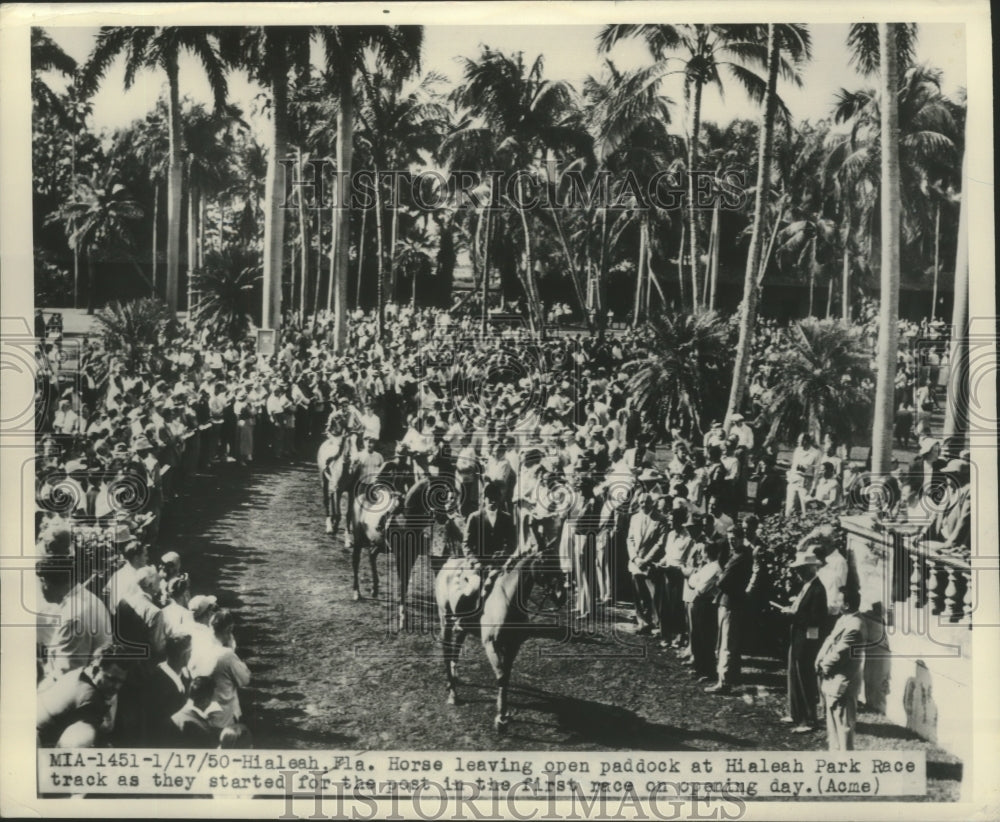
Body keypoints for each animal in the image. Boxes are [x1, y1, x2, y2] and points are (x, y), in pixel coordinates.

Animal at [436, 552, 568, 732]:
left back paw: (454, 682)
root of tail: (449, 562)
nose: (562, 597)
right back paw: (452, 693)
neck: (508, 600)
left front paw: (503, 714)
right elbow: (501, 676)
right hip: (446, 619)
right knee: (446, 652)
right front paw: (501, 718)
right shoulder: (491, 645)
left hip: (462, 628)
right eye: (544, 562)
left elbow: (506, 676)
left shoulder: (513, 645)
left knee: (455, 652)